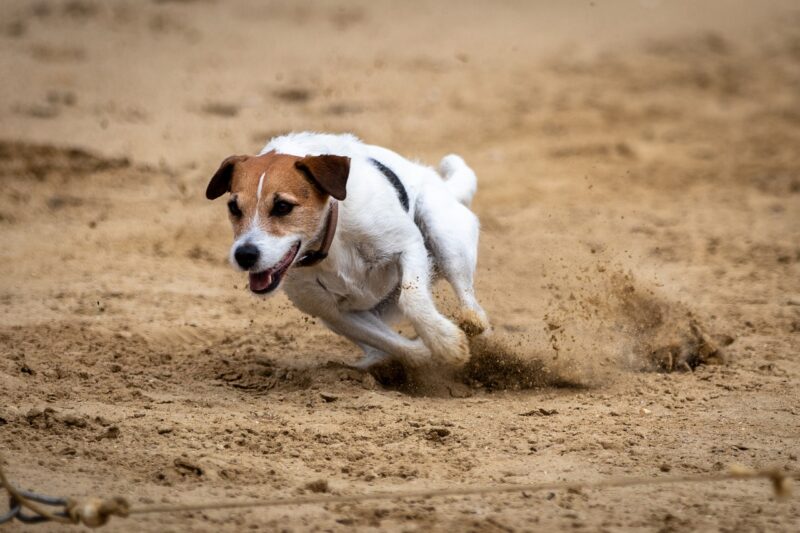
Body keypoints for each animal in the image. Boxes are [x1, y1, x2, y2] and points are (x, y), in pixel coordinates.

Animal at [206, 132, 488, 366]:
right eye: (234, 207)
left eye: (283, 207)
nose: (244, 255)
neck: (331, 239)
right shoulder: (337, 314)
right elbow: (393, 344)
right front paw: (429, 354)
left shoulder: (408, 246)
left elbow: (414, 300)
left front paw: (446, 343)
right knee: (378, 347)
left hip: (443, 232)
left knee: (470, 301)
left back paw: (475, 326)